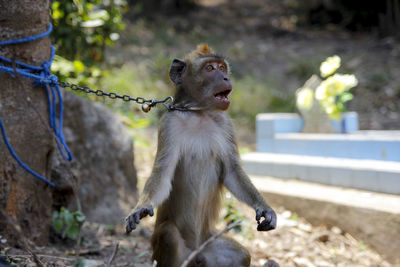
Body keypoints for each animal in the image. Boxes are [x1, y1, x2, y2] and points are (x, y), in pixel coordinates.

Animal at [126, 44, 276, 267]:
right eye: (210, 68)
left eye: (222, 67)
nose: (225, 77)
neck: (199, 114)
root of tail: (196, 253)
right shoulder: (169, 124)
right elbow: (163, 174)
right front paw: (141, 207)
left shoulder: (226, 124)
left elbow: (232, 172)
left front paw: (265, 208)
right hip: (165, 254)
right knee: (169, 234)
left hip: (209, 245)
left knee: (240, 254)